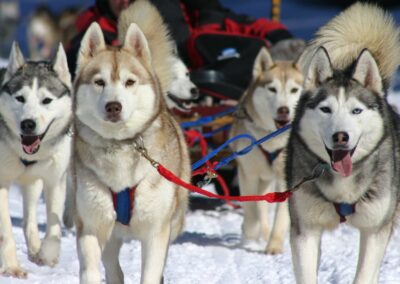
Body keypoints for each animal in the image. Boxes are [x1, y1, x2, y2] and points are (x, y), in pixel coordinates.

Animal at [0, 42, 72, 278]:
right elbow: (6, 233)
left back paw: (34, 249)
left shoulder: (55, 181)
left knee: (29, 221)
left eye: (46, 100)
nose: (28, 124)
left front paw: (47, 254)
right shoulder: (1, 185)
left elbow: (54, 228)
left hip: (32, 184)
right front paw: (12, 266)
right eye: (20, 98)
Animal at [73, 1, 191, 282]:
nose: (113, 106)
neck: (120, 147)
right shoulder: (90, 225)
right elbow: (91, 269)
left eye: (129, 82)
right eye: (99, 82)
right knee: (113, 267)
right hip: (110, 230)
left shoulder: (156, 233)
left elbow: (150, 273)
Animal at [230, 46, 302, 253]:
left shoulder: (285, 179)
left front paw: (274, 245)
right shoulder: (248, 173)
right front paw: (250, 234)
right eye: (272, 89)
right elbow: (252, 209)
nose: (284, 110)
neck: (271, 137)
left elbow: (281, 215)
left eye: (294, 90)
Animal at [286, 2, 400, 284]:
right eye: (326, 109)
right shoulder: (305, 230)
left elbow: (364, 274)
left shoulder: (375, 229)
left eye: (356, 111)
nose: (341, 136)